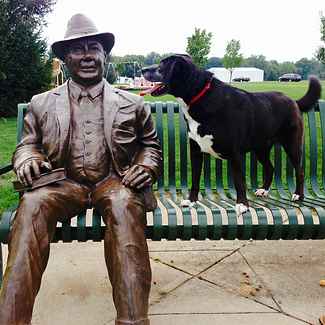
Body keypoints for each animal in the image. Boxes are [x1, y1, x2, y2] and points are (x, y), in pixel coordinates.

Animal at [141, 54, 318, 215]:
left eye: (162, 65)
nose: (142, 69)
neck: (200, 95)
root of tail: (294, 101)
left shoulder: (235, 153)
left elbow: (239, 180)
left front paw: (242, 205)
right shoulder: (195, 150)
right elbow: (195, 179)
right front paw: (191, 201)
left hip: (292, 144)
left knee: (299, 170)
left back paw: (298, 195)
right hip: (261, 148)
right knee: (270, 168)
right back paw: (264, 190)